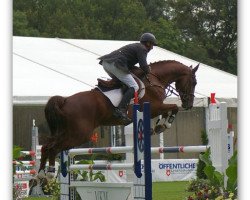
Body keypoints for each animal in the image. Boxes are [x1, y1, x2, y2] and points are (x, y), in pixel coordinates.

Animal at [37, 60, 199, 177]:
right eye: (194, 82)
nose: (189, 104)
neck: (154, 79)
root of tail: (65, 100)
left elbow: (171, 109)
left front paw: (160, 125)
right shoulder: (155, 107)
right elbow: (174, 107)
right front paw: (163, 125)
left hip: (67, 132)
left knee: (46, 146)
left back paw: (40, 174)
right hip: (79, 134)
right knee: (53, 147)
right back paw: (50, 172)